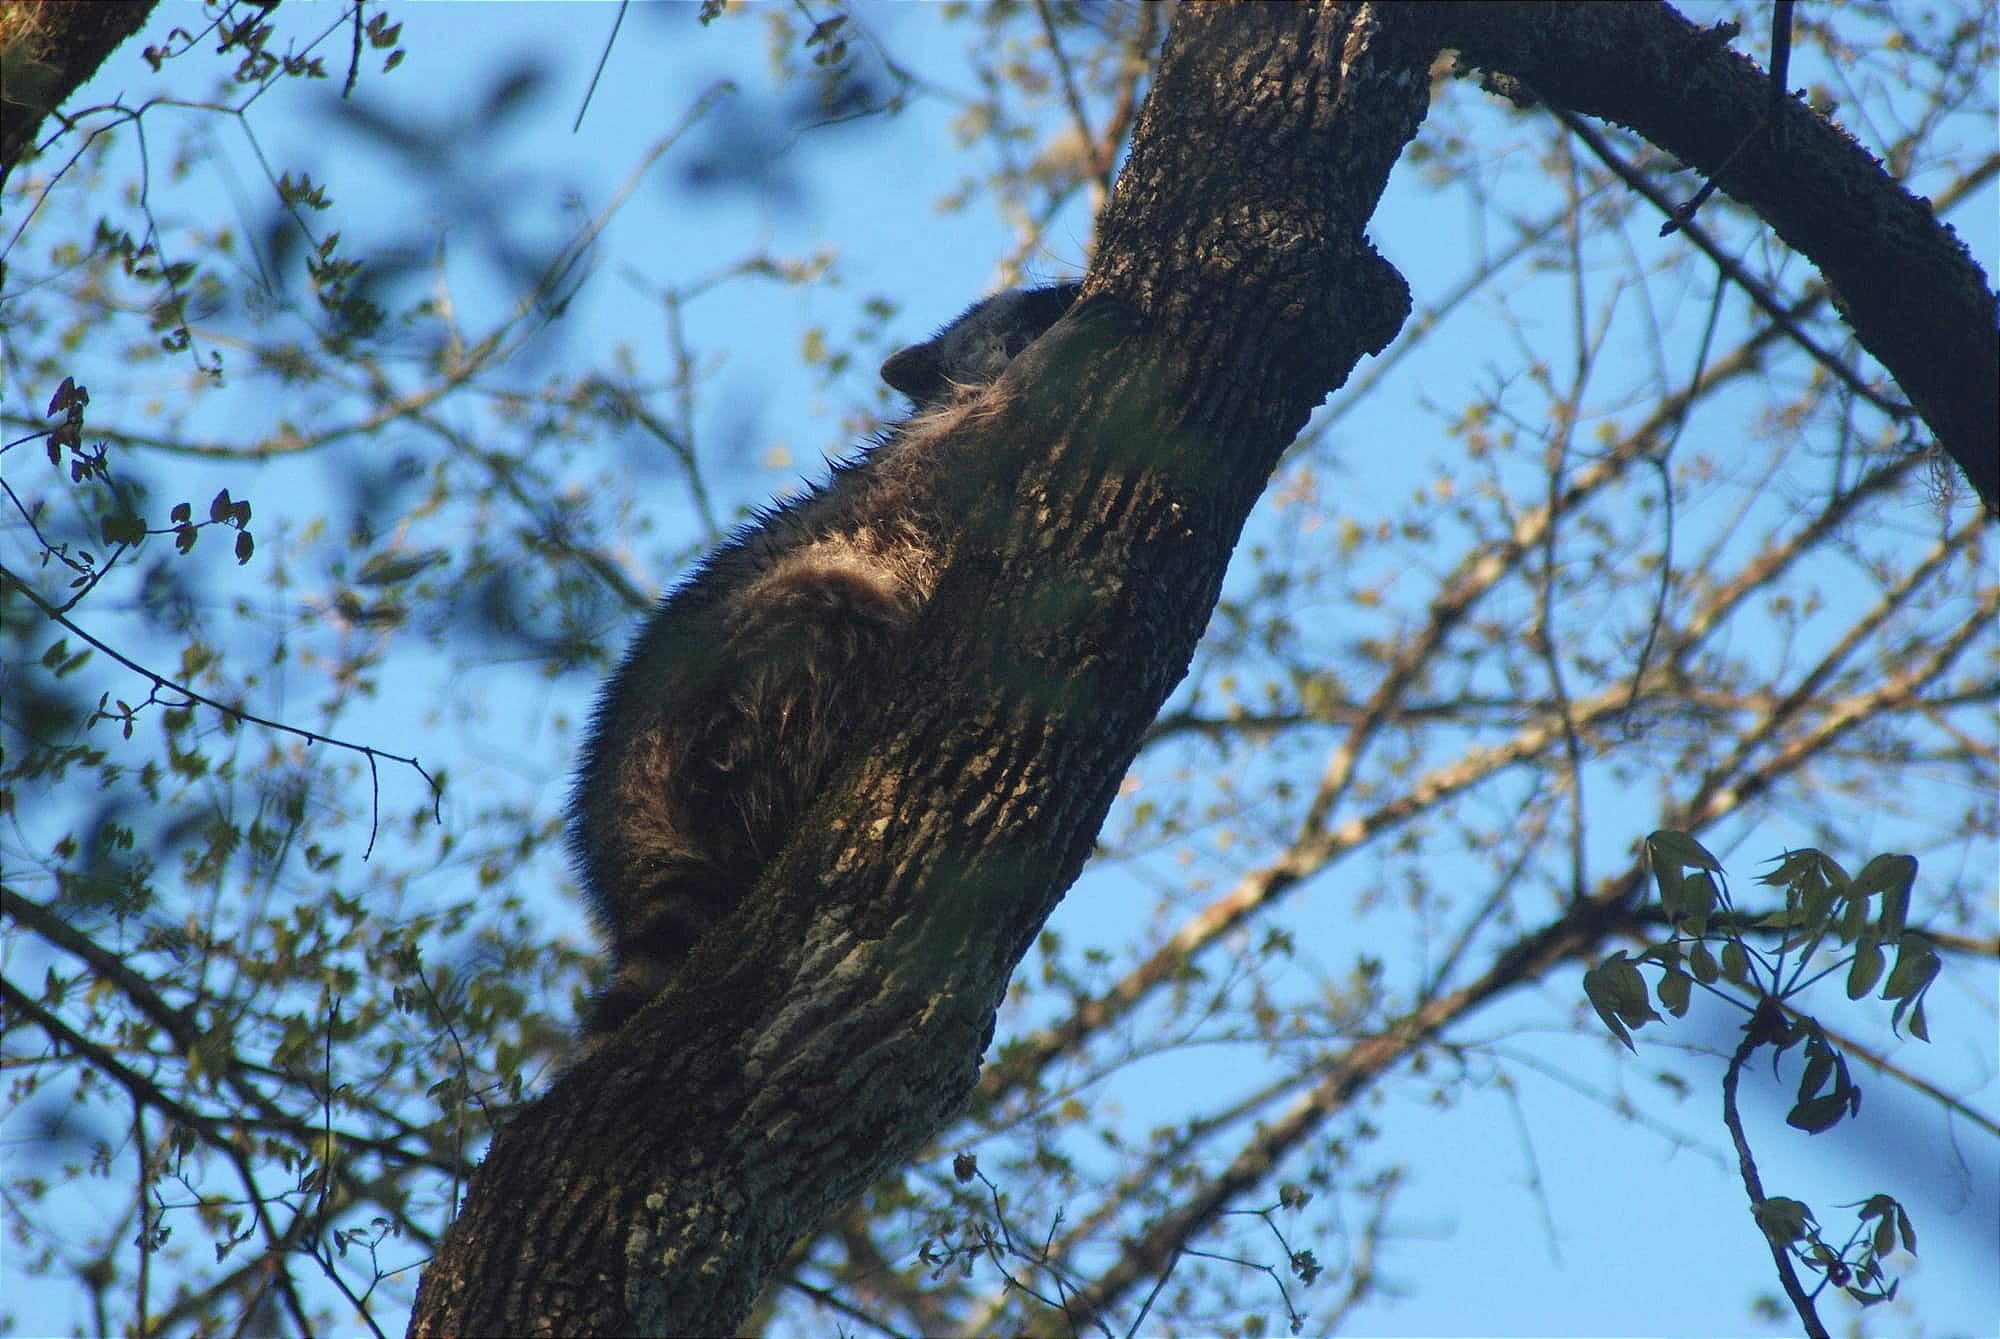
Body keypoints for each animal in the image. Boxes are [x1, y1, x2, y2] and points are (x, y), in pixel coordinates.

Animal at [568, 282, 1081, 1040]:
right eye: (1026, 306)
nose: (1074, 292)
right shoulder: (936, 464)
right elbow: (1007, 425)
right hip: (738, 688)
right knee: (830, 612)